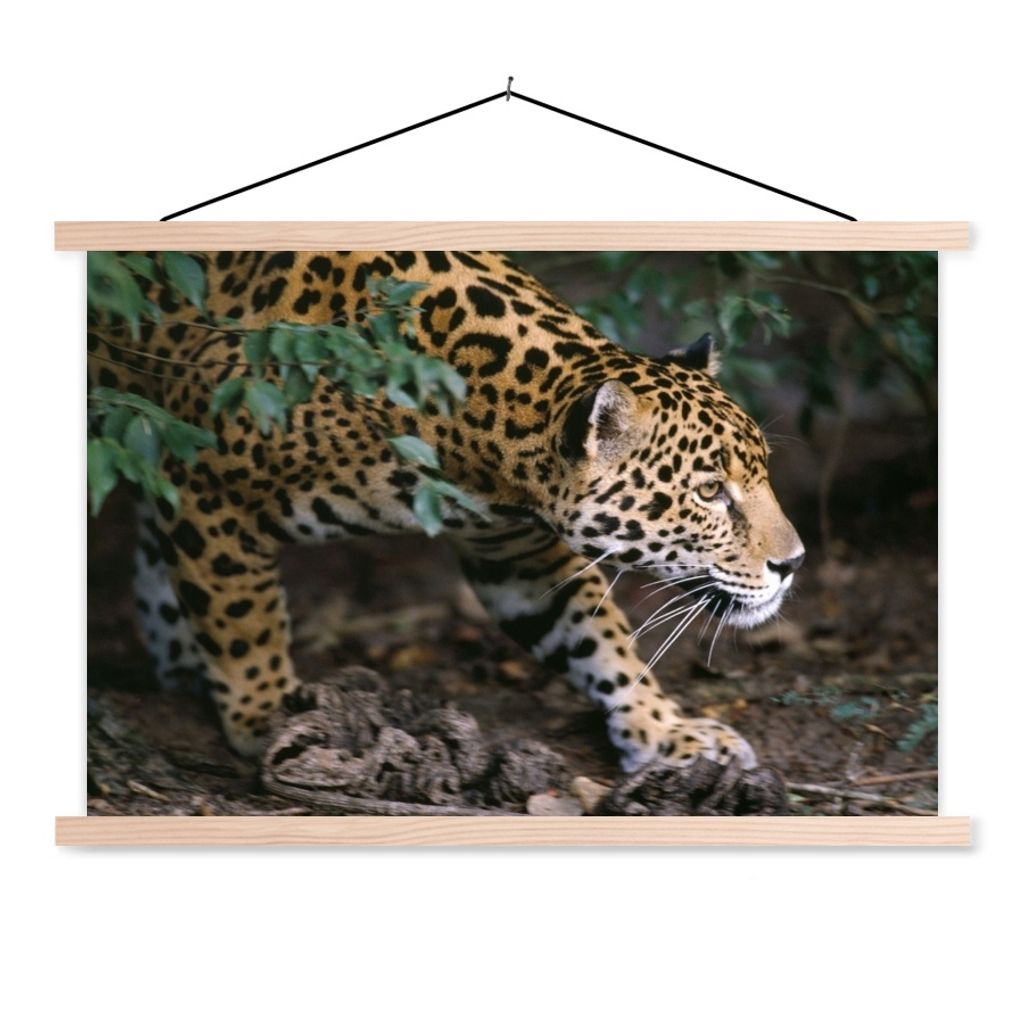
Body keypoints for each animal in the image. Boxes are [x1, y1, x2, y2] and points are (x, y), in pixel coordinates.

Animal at [88, 249, 804, 773]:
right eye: (709, 491)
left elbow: (597, 638)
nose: (793, 563)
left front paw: (664, 729)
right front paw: (267, 718)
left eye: (762, 471)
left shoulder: (515, 552)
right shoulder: (209, 486)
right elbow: (245, 622)